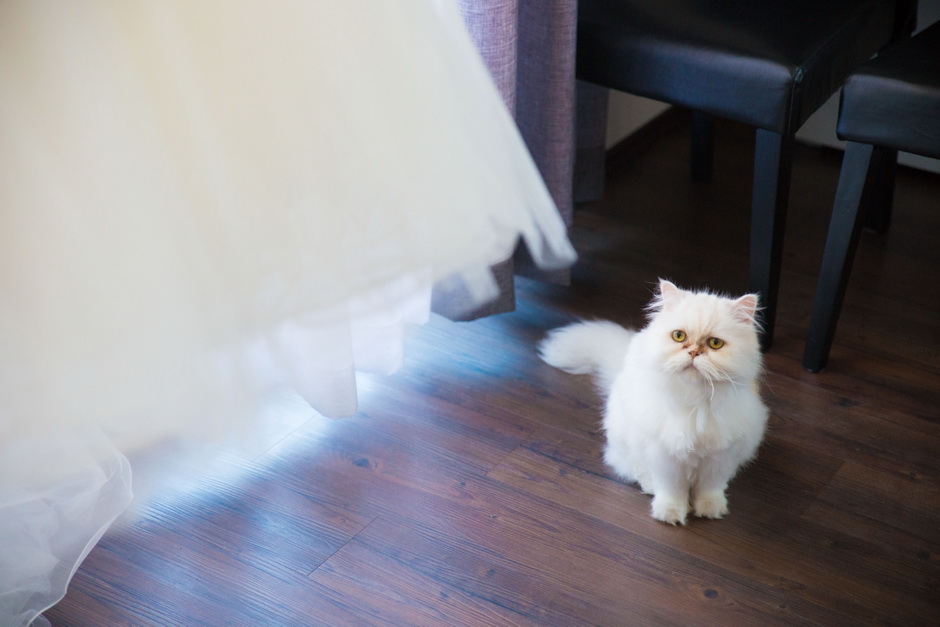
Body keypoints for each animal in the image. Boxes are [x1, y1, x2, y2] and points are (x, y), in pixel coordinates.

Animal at [540, 280, 768, 524]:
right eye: (679, 336)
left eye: (715, 343)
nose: (694, 352)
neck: (693, 401)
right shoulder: (664, 455)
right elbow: (672, 489)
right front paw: (670, 514)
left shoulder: (720, 456)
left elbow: (710, 487)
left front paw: (710, 509)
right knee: (629, 465)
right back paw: (649, 486)